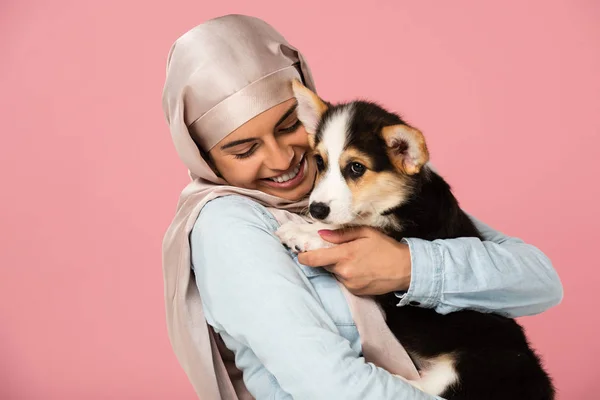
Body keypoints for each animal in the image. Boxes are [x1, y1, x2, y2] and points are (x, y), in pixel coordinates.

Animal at [276, 80, 552, 400]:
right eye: (319, 161)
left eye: (356, 167)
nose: (317, 209)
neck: (396, 202)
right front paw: (306, 224)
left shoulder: (399, 234)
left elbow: (347, 232)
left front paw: (302, 233)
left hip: (476, 364)